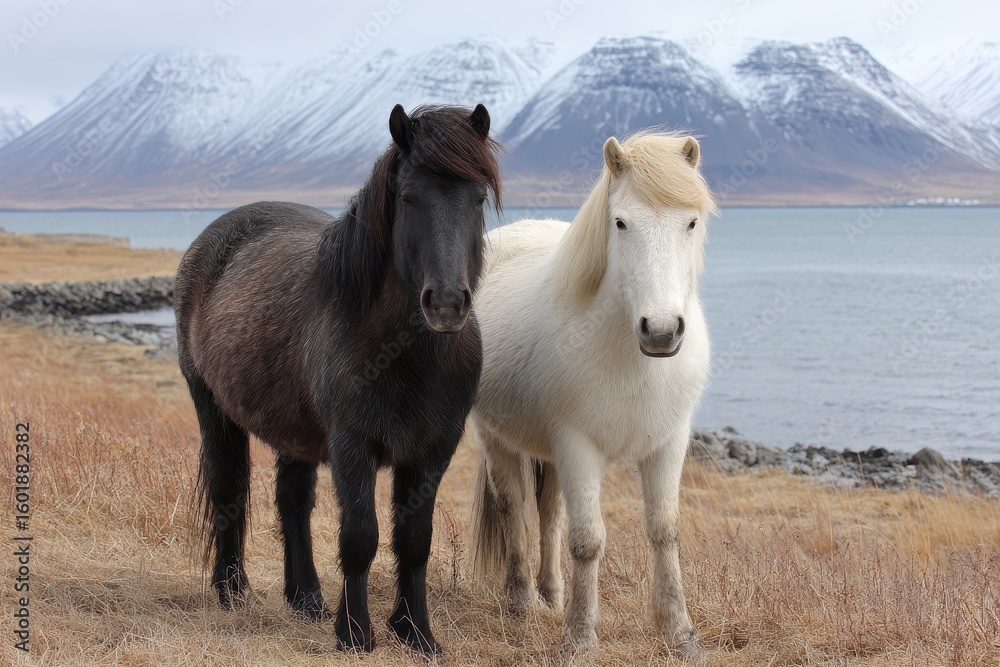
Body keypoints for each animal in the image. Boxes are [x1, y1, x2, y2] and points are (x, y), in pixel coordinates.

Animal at [174, 104, 502, 656]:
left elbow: (414, 540)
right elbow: (361, 536)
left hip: (295, 433)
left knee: (293, 503)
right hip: (213, 410)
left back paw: (306, 599)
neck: (404, 355)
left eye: (478, 198)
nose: (445, 304)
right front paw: (355, 633)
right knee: (228, 490)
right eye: (408, 197)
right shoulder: (353, 446)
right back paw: (232, 591)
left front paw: (416, 632)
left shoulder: (433, 450)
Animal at [468, 132, 715, 657]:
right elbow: (587, 541)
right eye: (620, 222)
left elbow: (664, 531)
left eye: (691, 221)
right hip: (497, 437)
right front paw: (581, 637)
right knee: (515, 507)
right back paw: (523, 601)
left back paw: (551, 594)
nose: (661, 331)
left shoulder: (668, 445)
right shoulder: (579, 447)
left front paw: (680, 632)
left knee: (549, 513)